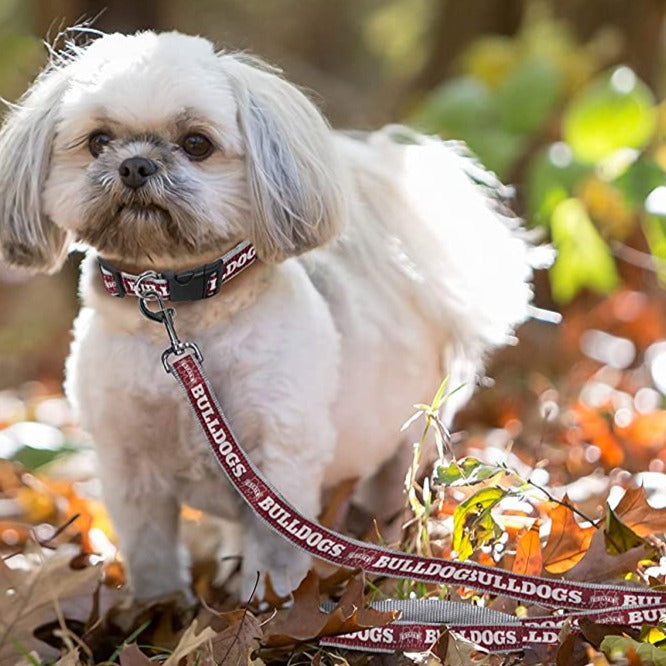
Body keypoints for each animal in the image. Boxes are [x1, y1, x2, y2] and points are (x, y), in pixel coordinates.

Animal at [0, 31, 532, 600]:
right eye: (98, 141)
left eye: (196, 143)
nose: (136, 165)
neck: (180, 312)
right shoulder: (129, 469)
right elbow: (152, 555)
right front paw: (158, 608)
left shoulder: (279, 457)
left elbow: (276, 552)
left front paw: (266, 605)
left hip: (407, 444)